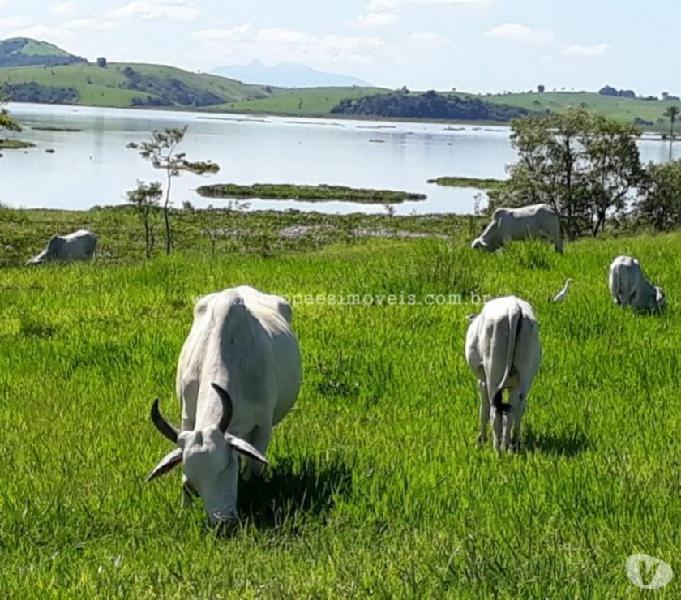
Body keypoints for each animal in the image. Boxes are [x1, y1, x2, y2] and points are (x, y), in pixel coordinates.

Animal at [149, 284, 300, 524]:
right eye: (192, 483)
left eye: (227, 468)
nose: (223, 522)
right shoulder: (187, 418)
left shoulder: (263, 427)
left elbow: (253, 469)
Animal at [464, 296, 540, 450]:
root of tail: (514, 308)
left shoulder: (482, 383)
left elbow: (484, 411)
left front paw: (481, 439)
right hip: (524, 379)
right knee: (515, 411)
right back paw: (512, 444)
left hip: (493, 374)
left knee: (495, 413)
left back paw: (497, 447)